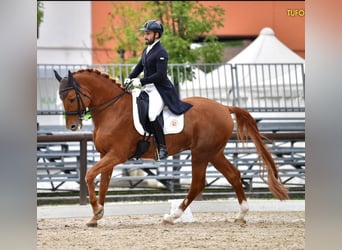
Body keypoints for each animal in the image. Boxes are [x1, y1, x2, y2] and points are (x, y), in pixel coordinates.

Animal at [54, 68, 288, 227]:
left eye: (72, 98)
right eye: (61, 97)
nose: (72, 126)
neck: (113, 109)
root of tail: (223, 106)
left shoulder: (117, 155)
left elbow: (88, 175)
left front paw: (96, 211)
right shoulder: (107, 155)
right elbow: (102, 184)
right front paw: (96, 215)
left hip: (201, 153)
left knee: (198, 184)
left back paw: (172, 216)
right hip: (214, 152)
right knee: (233, 175)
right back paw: (241, 214)